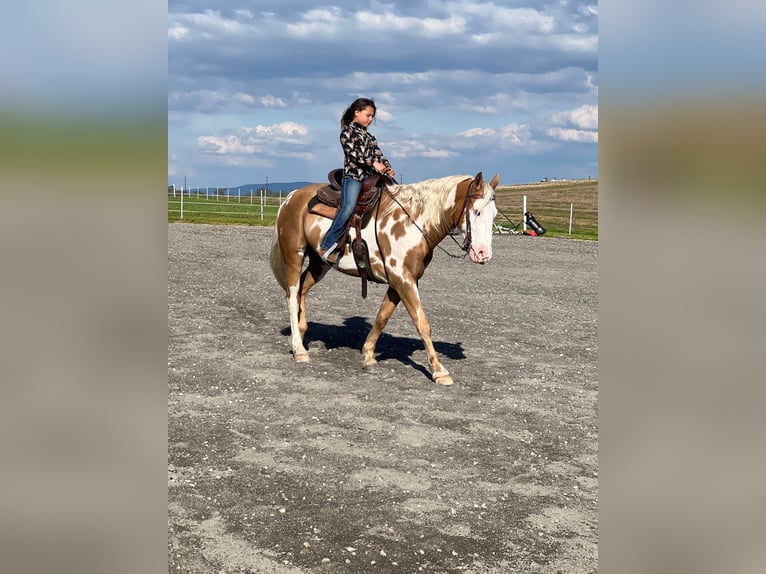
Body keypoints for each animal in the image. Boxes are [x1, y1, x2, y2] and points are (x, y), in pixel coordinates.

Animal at [272, 171, 504, 388]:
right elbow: (422, 323)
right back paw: (299, 349)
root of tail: (291, 197)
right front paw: (440, 371)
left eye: (493, 214)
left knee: (301, 290)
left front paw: (368, 355)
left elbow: (382, 317)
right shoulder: (403, 280)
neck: (414, 221)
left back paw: (300, 335)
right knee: (292, 296)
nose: (483, 254)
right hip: (294, 254)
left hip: (319, 264)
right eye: (476, 211)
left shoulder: (400, 281)